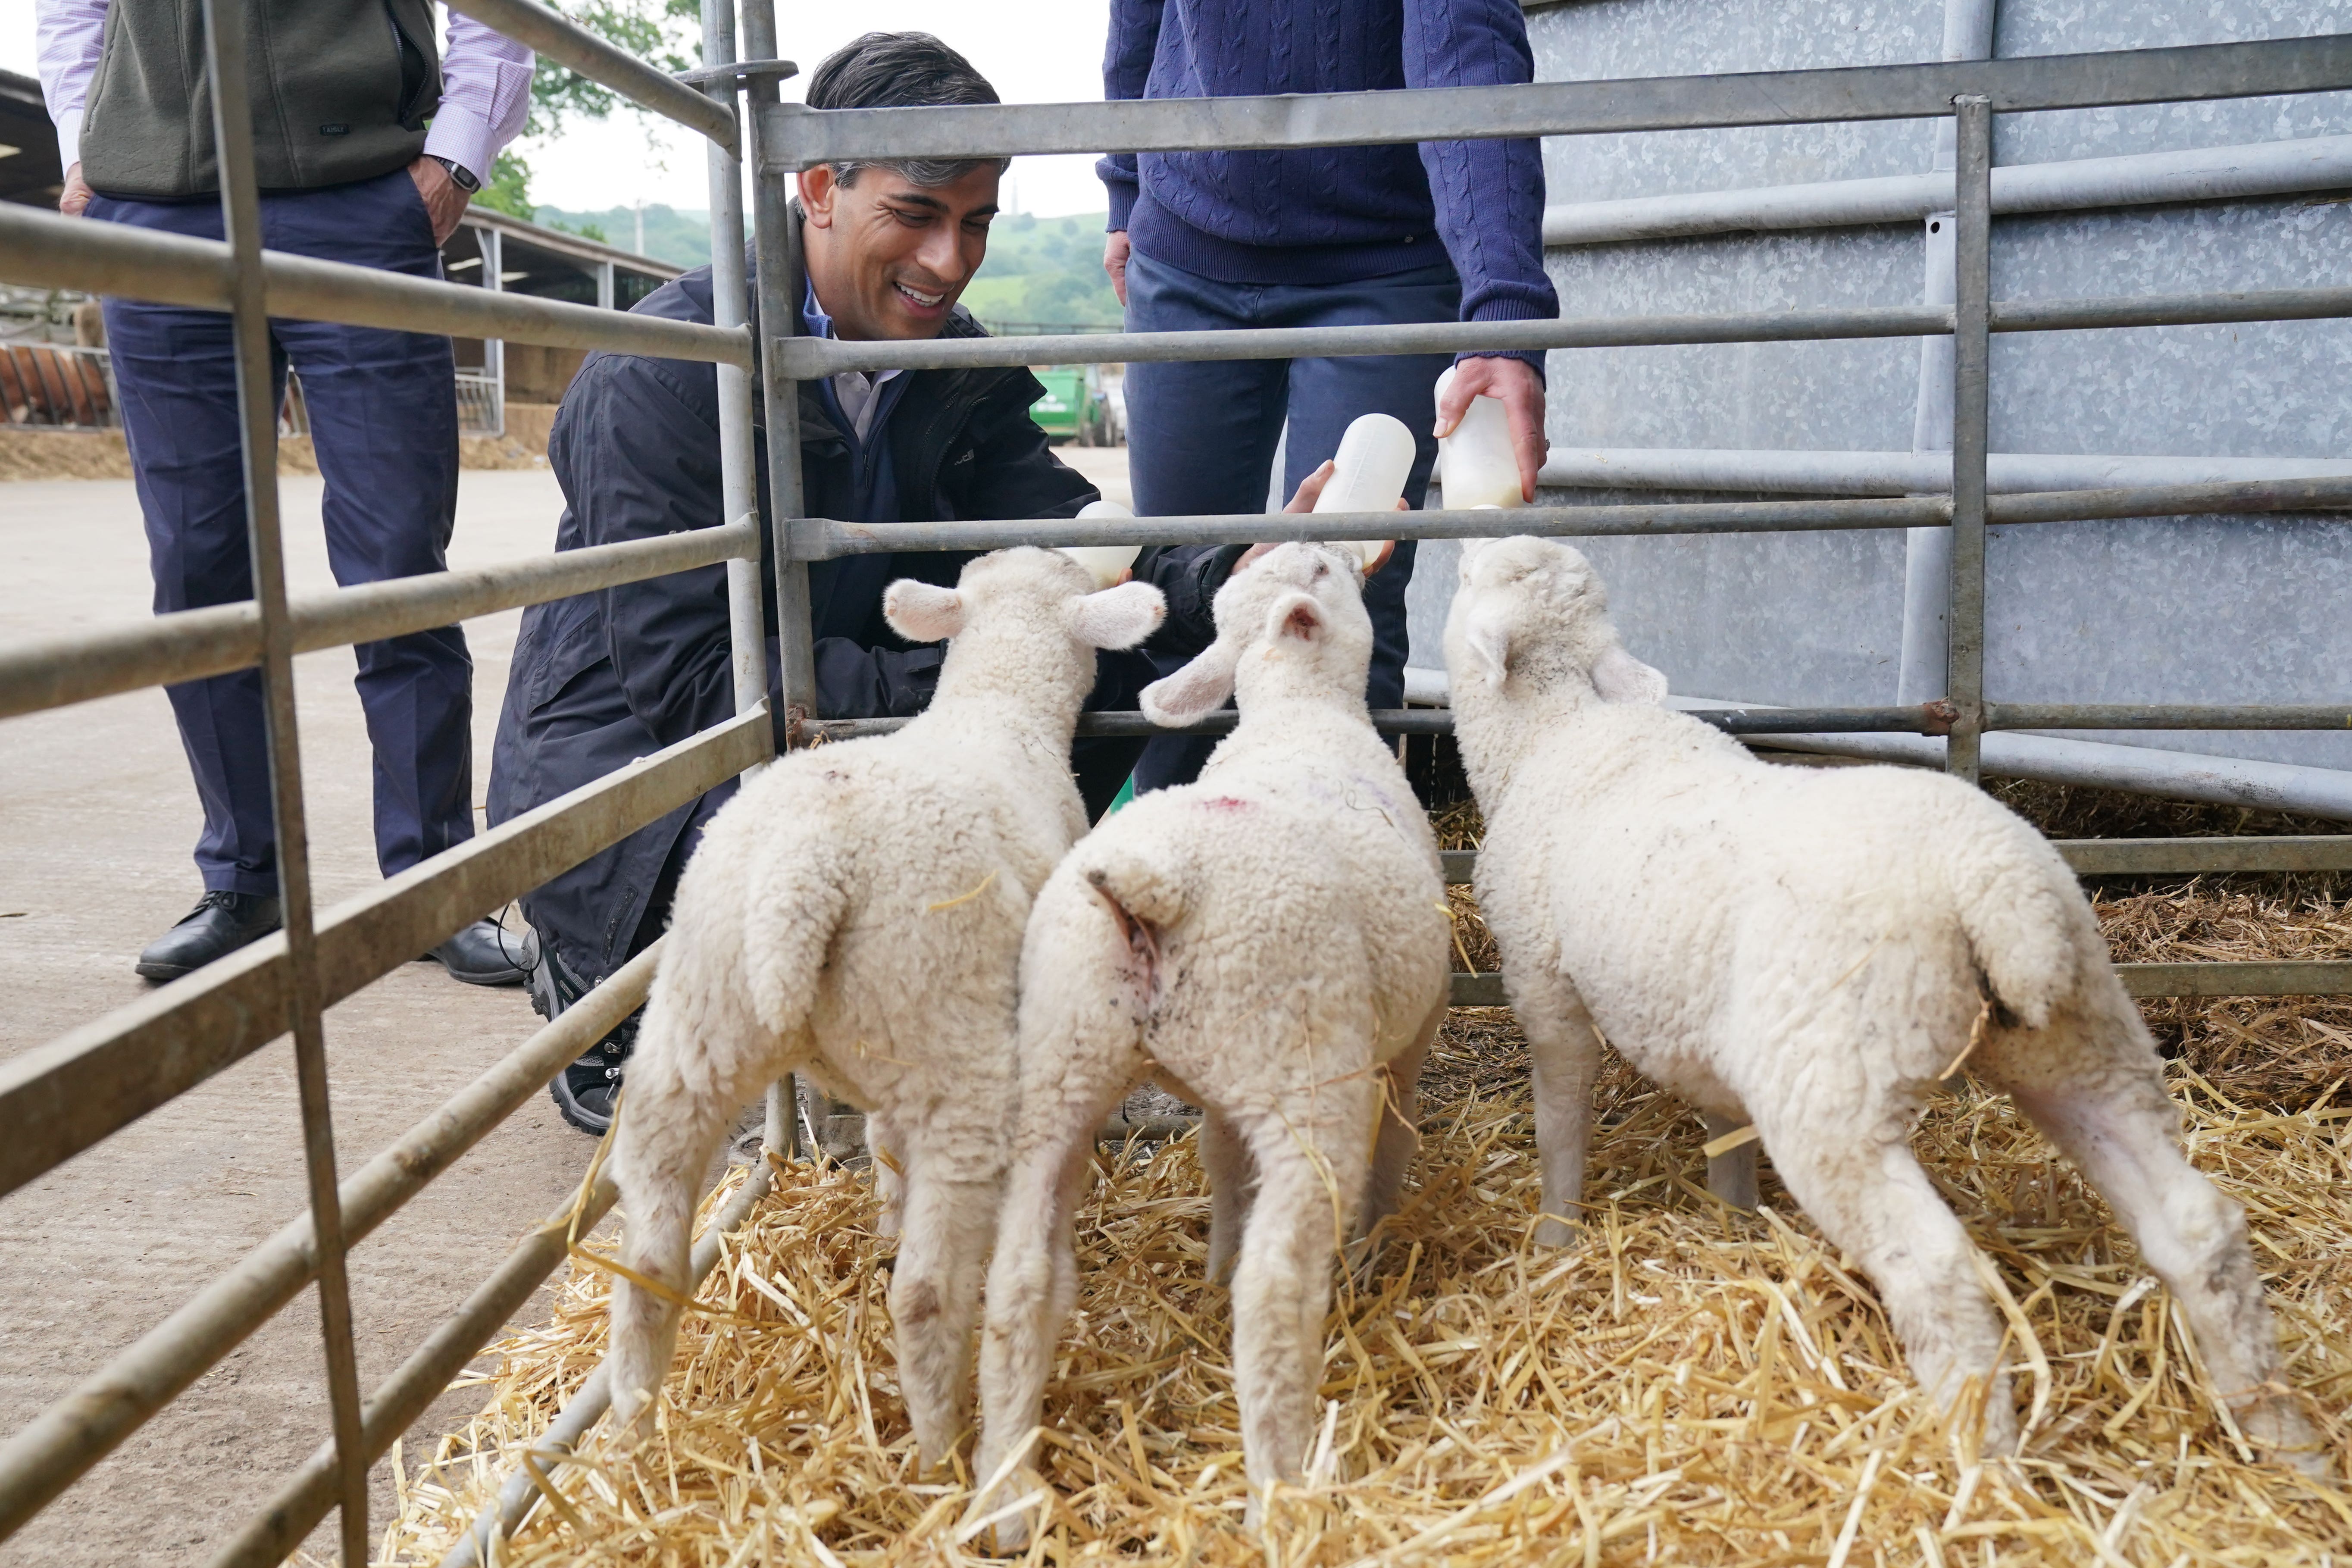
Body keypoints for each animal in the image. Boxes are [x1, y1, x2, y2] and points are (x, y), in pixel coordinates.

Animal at [597, 545, 1167, 1467]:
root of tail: (803, 872)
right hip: (951, 1040)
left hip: (700, 1023)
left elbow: (883, 1145)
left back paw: (634, 1447)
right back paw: (939, 1456)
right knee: (928, 1295)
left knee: (649, 1265)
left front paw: (887, 1224)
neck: (998, 703)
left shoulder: (894, 1063)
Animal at [969, 541, 1448, 1533]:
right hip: (1306, 1068)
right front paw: (1375, 1240)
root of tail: (1159, 885)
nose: (1345, 549)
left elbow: (1225, 1167)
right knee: (1278, 1286)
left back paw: (1006, 1488)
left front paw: (1214, 1261)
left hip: (1063, 1058)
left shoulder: (1231, 1088)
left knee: (1021, 1272)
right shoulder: (1408, 1031)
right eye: (1324, 573)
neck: (1302, 710)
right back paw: (1283, 1488)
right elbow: (1399, 1138)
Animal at [1439, 541, 2324, 1476]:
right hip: (2082, 1036)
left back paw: (1984, 1467)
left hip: (1836, 1088)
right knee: (2196, 1224)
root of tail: (1994, 890)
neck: (1554, 732)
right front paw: (1734, 1224)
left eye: (1466, 581)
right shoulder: (1710, 1030)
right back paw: (2285, 1442)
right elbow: (1726, 1134)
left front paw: (1554, 1237)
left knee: (1933, 1266)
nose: (1464, 545)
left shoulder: (1541, 977)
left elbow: (1559, 1118)